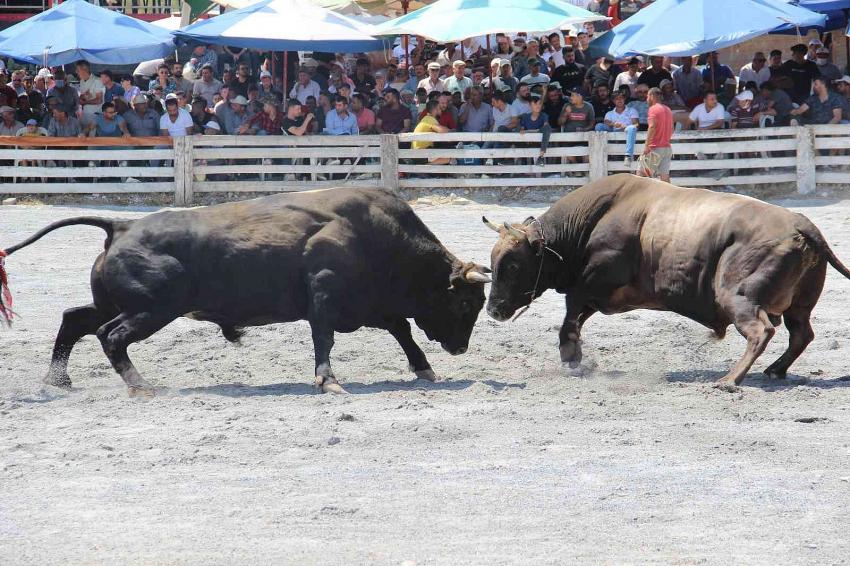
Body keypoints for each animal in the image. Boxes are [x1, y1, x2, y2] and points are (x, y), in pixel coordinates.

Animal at [0, 189, 486, 398]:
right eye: (464, 302)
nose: (461, 348)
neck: (374, 233)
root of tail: (121, 226)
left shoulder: (370, 306)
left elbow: (401, 329)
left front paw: (424, 369)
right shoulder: (326, 301)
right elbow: (325, 340)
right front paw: (328, 380)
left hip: (118, 303)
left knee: (74, 320)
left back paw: (57, 381)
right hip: (152, 309)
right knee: (110, 335)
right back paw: (141, 385)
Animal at [484, 176, 848, 390]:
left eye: (513, 265)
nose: (492, 310)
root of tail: (800, 224)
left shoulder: (592, 281)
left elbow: (570, 316)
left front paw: (571, 358)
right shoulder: (599, 295)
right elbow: (576, 317)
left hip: (738, 296)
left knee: (762, 331)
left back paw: (729, 379)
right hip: (800, 304)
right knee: (801, 334)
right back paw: (774, 370)